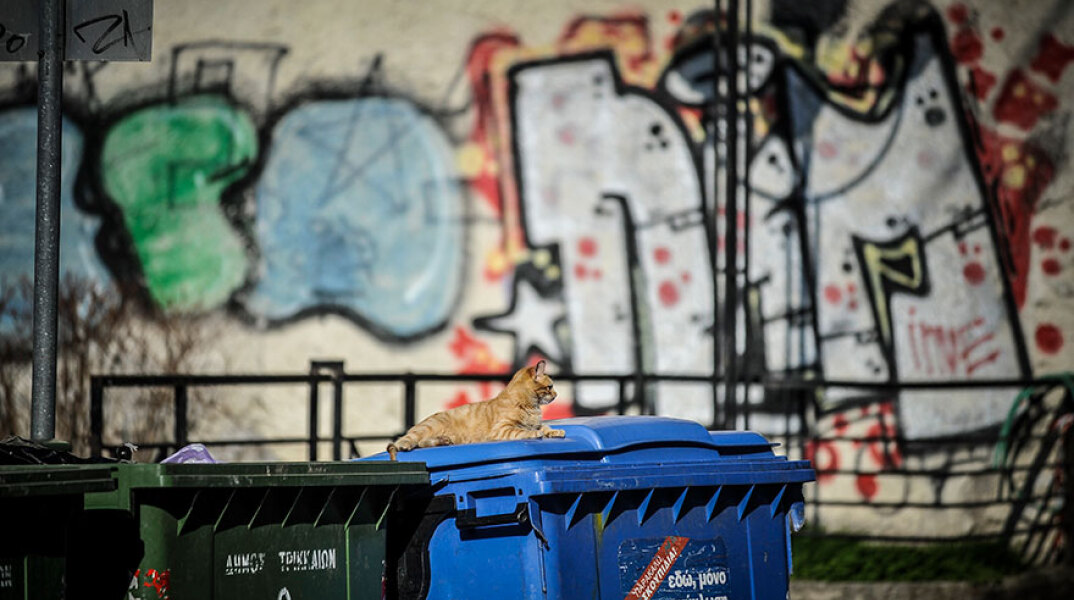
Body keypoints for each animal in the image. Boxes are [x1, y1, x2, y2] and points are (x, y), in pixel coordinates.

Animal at [388, 358, 571, 461]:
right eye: (550, 387)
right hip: (427, 428)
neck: (530, 406)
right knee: (406, 440)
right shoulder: (502, 429)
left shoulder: (537, 423)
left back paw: (443, 440)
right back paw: (405, 445)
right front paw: (534, 433)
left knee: (421, 443)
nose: (556, 394)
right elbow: (522, 431)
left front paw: (555, 431)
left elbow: (545, 426)